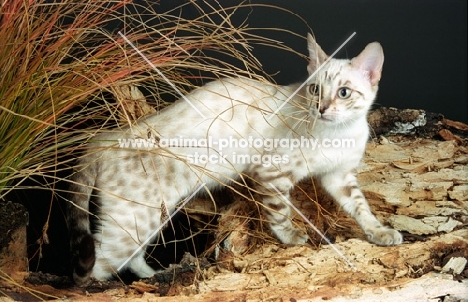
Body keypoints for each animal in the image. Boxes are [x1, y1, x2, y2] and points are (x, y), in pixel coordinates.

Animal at [66, 34, 402, 286]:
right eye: (314, 89)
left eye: (343, 93)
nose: (320, 109)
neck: (339, 133)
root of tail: (107, 136)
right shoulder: (272, 173)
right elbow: (280, 212)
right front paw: (292, 236)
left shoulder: (339, 176)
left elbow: (361, 208)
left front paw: (379, 233)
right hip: (135, 219)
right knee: (93, 269)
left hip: (147, 217)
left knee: (129, 256)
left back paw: (155, 275)